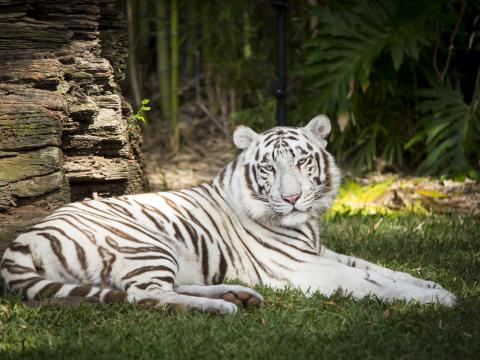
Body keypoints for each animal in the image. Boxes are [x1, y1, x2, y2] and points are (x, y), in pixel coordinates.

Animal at [0, 116, 458, 314]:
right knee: (143, 295)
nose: (293, 198)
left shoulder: (320, 253)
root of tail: (21, 241)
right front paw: (438, 299)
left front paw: (433, 283)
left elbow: (379, 268)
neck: (306, 225)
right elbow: (369, 282)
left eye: (301, 162)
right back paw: (224, 308)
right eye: (269, 167)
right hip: (146, 244)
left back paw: (237, 295)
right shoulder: (303, 268)